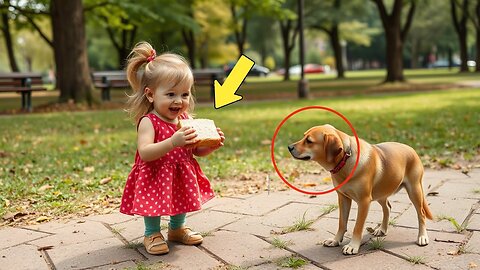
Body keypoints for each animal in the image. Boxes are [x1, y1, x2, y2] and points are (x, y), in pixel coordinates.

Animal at [286, 124, 434, 255]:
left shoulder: (364, 202)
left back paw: (422, 236)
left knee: (421, 213)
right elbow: (342, 223)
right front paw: (335, 240)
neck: (345, 159)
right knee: (387, 207)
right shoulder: (343, 198)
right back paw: (382, 229)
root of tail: (412, 149)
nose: (289, 147)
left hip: (414, 190)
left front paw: (353, 246)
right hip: (381, 192)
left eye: (309, 141)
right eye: (304, 136)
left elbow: (357, 227)